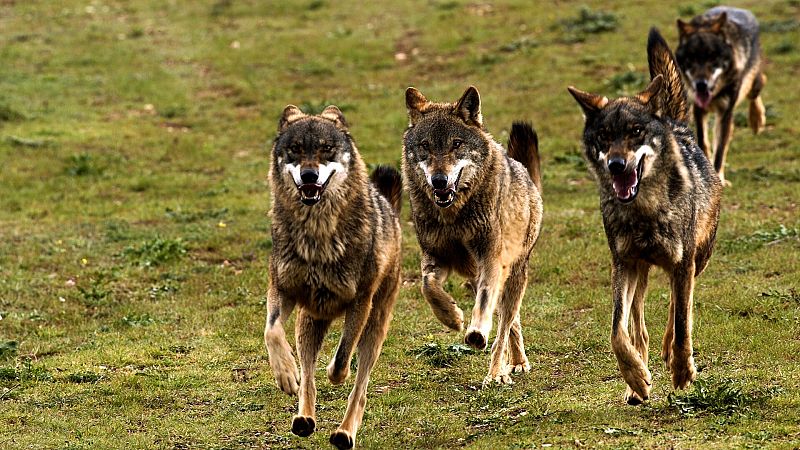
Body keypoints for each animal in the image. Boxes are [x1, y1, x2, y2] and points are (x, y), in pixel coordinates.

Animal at [263, 104, 402, 449]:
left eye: (326, 149)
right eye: (296, 150)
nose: (309, 175)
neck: (318, 234)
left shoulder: (360, 302)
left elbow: (341, 360)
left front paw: (335, 373)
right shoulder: (282, 289)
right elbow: (272, 332)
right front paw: (285, 374)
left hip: (375, 327)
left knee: (360, 388)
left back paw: (344, 433)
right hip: (308, 322)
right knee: (308, 378)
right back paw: (304, 418)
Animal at [402, 86, 543, 385]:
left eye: (456, 144)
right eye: (425, 146)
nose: (439, 181)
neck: (454, 216)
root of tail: (523, 171)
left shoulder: (490, 259)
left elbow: (487, 305)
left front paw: (476, 333)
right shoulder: (435, 257)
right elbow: (427, 286)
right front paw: (452, 318)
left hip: (514, 273)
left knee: (504, 325)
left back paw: (499, 372)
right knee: (510, 320)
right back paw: (514, 362)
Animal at [568, 28, 722, 404]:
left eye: (635, 132)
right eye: (605, 137)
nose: (616, 165)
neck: (645, 211)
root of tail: (675, 123)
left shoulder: (682, 264)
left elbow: (681, 321)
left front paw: (682, 371)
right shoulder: (622, 264)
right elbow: (616, 332)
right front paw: (636, 378)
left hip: (697, 259)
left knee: (679, 308)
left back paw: (670, 354)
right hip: (640, 272)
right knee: (637, 325)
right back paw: (637, 382)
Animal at [675, 6, 766, 185]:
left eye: (713, 59)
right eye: (691, 59)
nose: (701, 84)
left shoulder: (725, 113)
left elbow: (720, 151)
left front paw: (719, 179)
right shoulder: (698, 110)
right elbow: (703, 141)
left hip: (753, 84)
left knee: (758, 87)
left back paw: (756, 121)